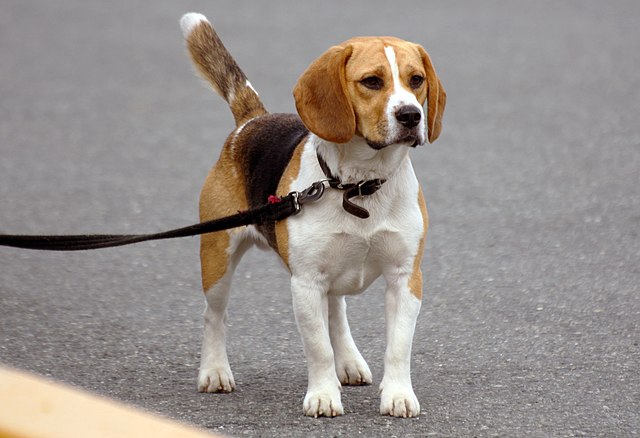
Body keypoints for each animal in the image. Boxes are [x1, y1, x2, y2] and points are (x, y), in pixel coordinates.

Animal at [180, 12, 444, 420]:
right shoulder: (305, 283)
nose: (411, 115)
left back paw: (349, 362)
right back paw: (214, 371)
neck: (359, 186)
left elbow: (399, 346)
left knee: (336, 311)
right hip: (217, 258)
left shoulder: (406, 277)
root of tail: (252, 120)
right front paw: (322, 396)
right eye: (372, 81)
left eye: (416, 79)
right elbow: (318, 348)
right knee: (214, 316)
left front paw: (398, 395)